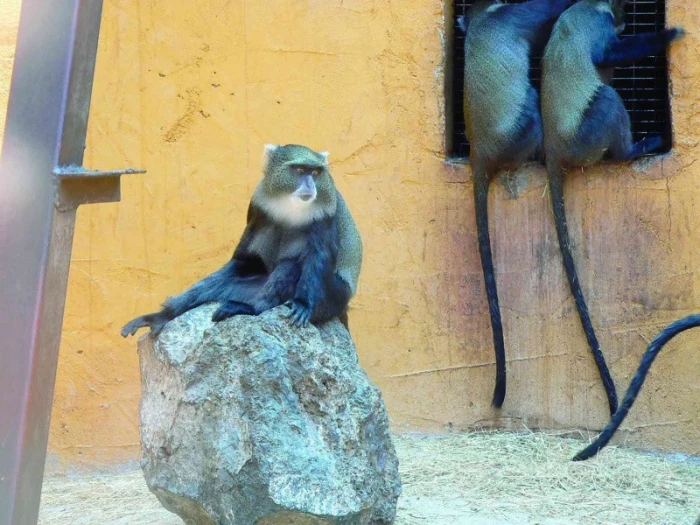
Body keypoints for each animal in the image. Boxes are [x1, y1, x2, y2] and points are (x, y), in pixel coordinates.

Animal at [121, 144, 362, 338]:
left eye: (316, 172)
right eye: (300, 170)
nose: (311, 185)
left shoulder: (325, 212)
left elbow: (317, 257)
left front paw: (302, 303)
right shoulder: (257, 207)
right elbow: (245, 257)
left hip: (330, 299)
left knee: (291, 265)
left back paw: (251, 308)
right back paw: (162, 315)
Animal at [541, 0, 684, 416]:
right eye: (618, 14)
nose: (622, 20)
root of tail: (554, 148)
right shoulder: (598, 24)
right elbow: (607, 55)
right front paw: (669, 35)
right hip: (588, 137)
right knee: (605, 99)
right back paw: (629, 152)